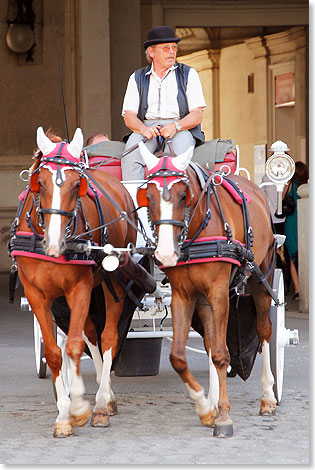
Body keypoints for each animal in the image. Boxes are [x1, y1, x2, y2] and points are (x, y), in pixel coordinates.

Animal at [11, 127, 138, 436]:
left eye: (75, 185)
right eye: (40, 183)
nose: (56, 243)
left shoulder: (79, 289)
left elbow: (74, 346)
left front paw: (79, 407)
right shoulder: (37, 294)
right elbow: (56, 352)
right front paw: (63, 414)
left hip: (112, 282)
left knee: (107, 336)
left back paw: (102, 402)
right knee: (91, 333)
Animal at [137, 142, 278, 436]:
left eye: (183, 195)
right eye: (148, 197)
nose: (165, 253)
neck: (198, 226)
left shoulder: (218, 292)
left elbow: (223, 354)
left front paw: (223, 416)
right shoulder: (183, 295)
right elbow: (180, 356)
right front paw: (205, 408)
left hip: (262, 278)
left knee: (264, 331)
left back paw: (268, 398)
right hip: (203, 301)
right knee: (211, 341)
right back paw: (213, 399)